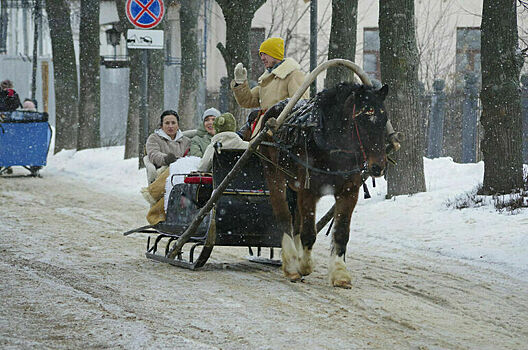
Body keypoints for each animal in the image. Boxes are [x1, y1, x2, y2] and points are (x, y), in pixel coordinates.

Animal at [258, 81, 390, 288]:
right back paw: (292, 264)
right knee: (284, 217)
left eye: (384, 120)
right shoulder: (308, 190)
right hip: (273, 174)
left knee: (296, 220)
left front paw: (340, 273)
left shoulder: (349, 191)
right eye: (362, 119)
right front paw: (304, 265)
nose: (378, 166)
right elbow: (308, 232)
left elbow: (341, 232)